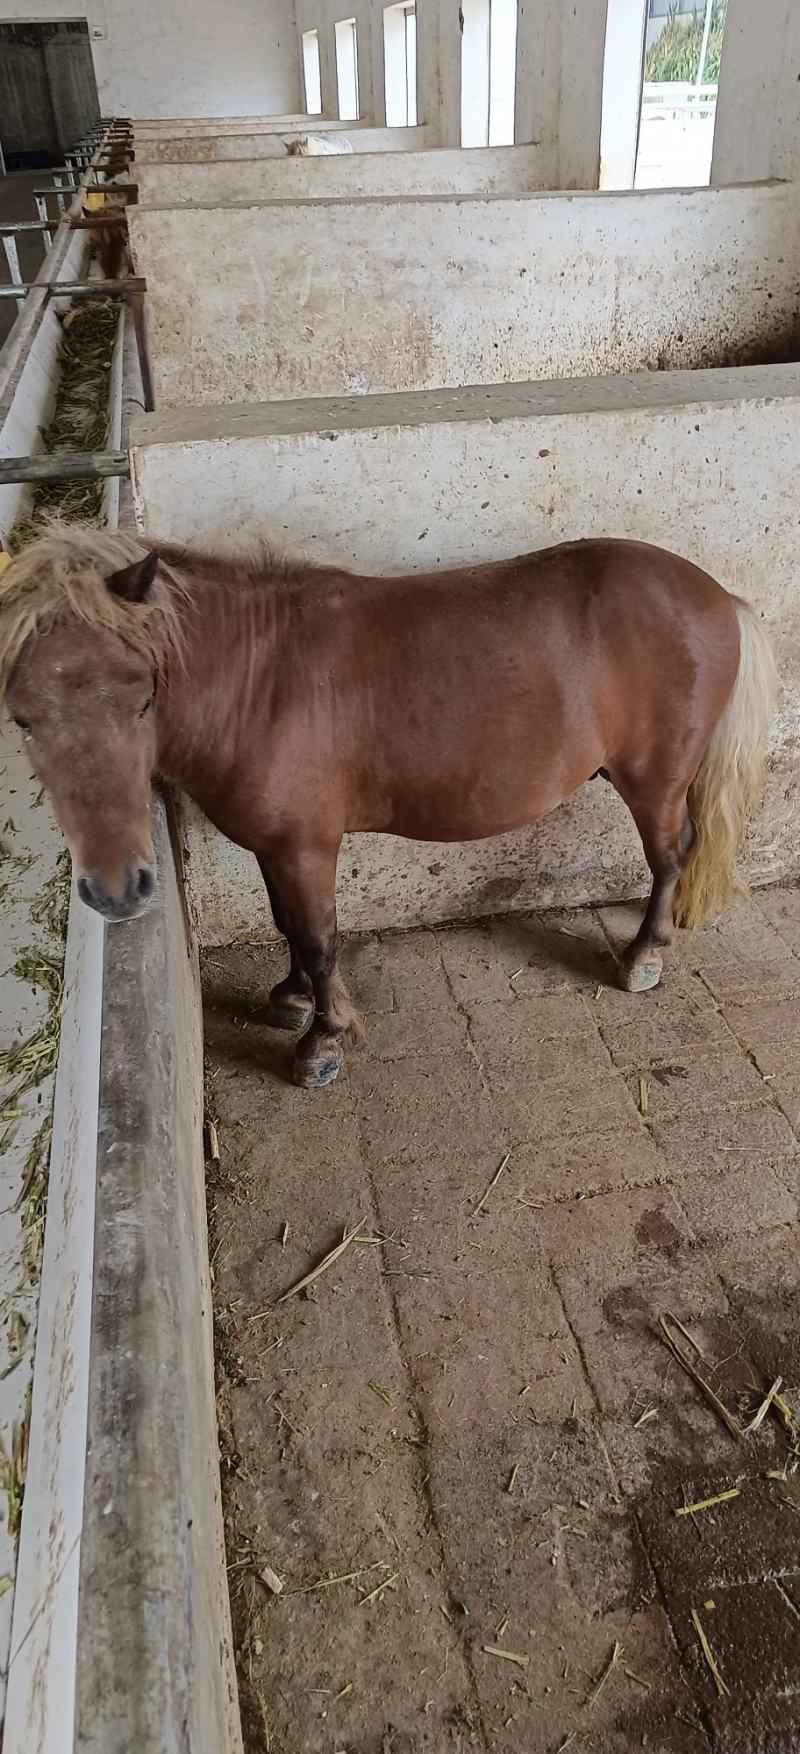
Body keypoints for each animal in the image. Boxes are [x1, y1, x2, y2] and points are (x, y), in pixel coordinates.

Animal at [0, 526, 777, 1088]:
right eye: (22, 719)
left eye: (142, 699)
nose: (115, 889)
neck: (259, 680)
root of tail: (716, 595)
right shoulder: (276, 846)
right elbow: (288, 924)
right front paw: (291, 999)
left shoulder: (306, 845)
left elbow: (319, 938)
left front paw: (323, 1041)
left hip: (655, 779)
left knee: (670, 856)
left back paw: (644, 955)